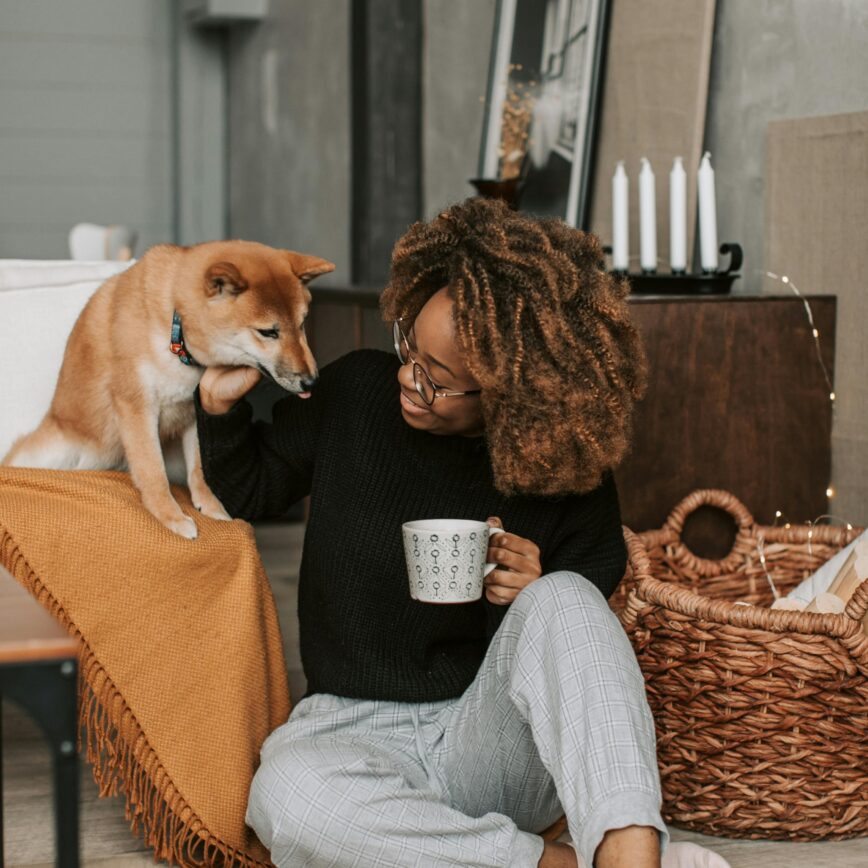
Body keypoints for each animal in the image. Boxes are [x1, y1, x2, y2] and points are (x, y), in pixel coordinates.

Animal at [2, 237, 336, 536]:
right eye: (268, 332)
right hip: (50, 453)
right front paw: (170, 517)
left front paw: (211, 507)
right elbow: (153, 471)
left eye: (301, 324)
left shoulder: (194, 413)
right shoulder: (137, 407)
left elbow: (199, 470)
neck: (175, 335)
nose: (312, 380)